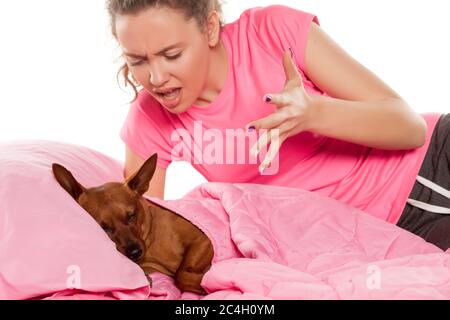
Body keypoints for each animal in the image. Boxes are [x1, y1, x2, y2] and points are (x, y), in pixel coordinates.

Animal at [51, 154, 214, 294]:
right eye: (104, 228)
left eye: (131, 215)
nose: (134, 252)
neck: (151, 243)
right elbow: (178, 275)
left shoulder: (203, 240)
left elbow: (181, 276)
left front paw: (204, 282)